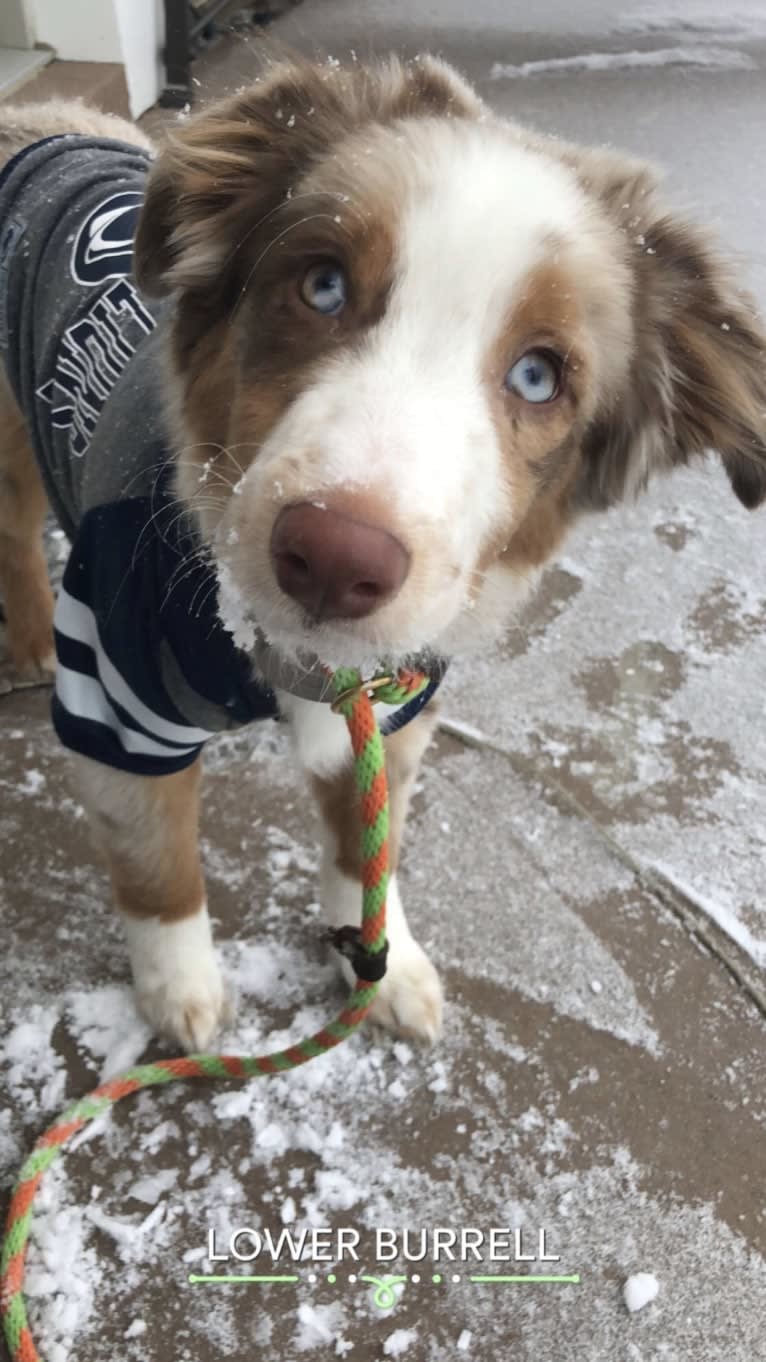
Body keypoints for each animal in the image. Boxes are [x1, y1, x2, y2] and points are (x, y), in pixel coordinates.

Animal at [1, 55, 763, 1051]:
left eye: (538, 376)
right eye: (322, 286)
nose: (332, 557)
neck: (289, 656)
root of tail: (42, 113)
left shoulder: (397, 710)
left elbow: (371, 847)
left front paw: (382, 964)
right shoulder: (117, 699)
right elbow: (158, 864)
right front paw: (181, 993)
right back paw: (25, 636)